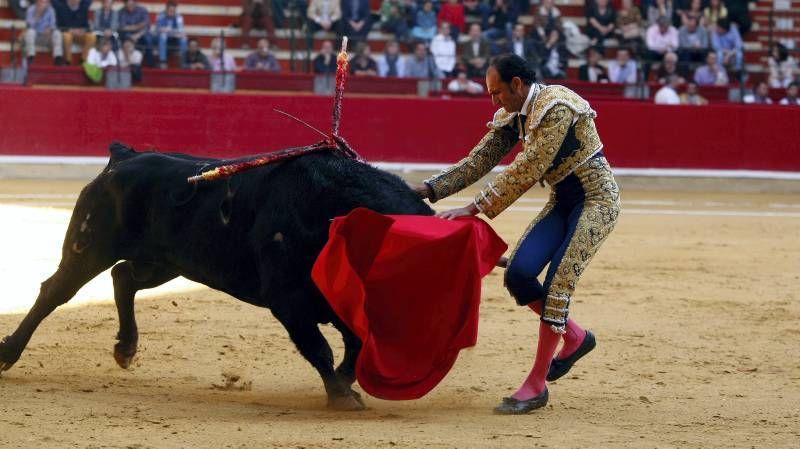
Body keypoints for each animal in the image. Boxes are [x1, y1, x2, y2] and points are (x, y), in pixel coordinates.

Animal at [0, 144, 432, 410]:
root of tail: (124, 156)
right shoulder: (288, 302)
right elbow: (320, 349)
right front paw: (341, 396)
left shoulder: (340, 308)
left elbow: (355, 347)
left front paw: (344, 386)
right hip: (90, 246)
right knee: (55, 292)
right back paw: (9, 353)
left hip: (167, 261)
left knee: (124, 277)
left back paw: (126, 348)